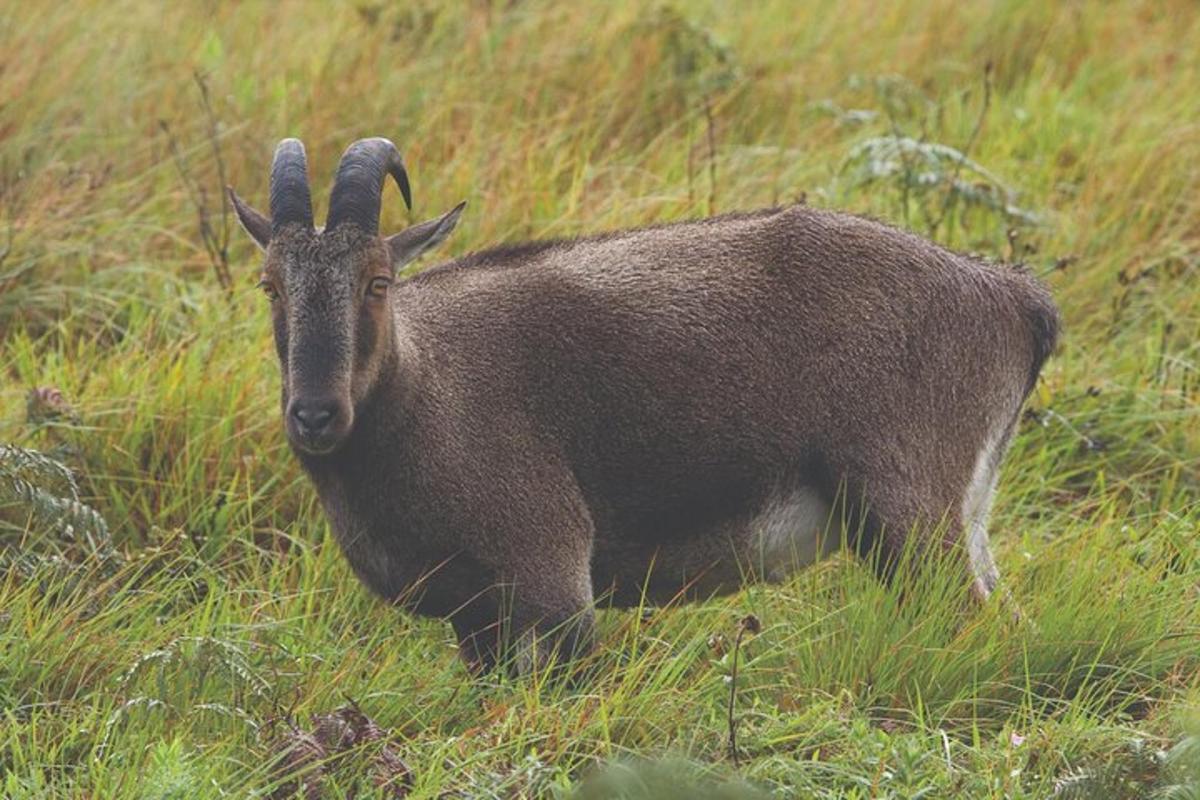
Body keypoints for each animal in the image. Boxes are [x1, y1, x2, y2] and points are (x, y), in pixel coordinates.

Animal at [229, 137, 1056, 676]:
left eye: (378, 281)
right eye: (270, 284)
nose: (315, 415)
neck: (427, 390)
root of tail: (1016, 300)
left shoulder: (553, 579)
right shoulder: (475, 620)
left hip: (912, 517)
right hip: (960, 522)